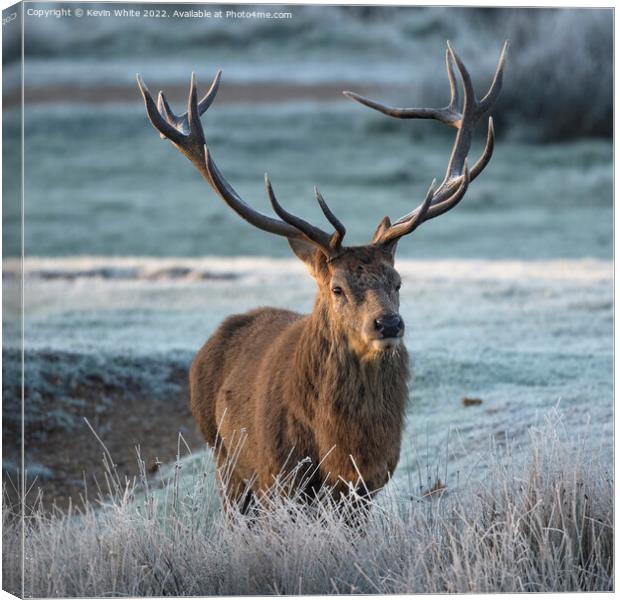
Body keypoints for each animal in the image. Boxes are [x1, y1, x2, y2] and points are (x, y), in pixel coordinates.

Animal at [138, 42, 506, 512]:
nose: (388, 324)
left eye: (398, 281)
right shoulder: (280, 479)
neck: (340, 451)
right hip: (225, 459)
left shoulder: (367, 487)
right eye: (337, 287)